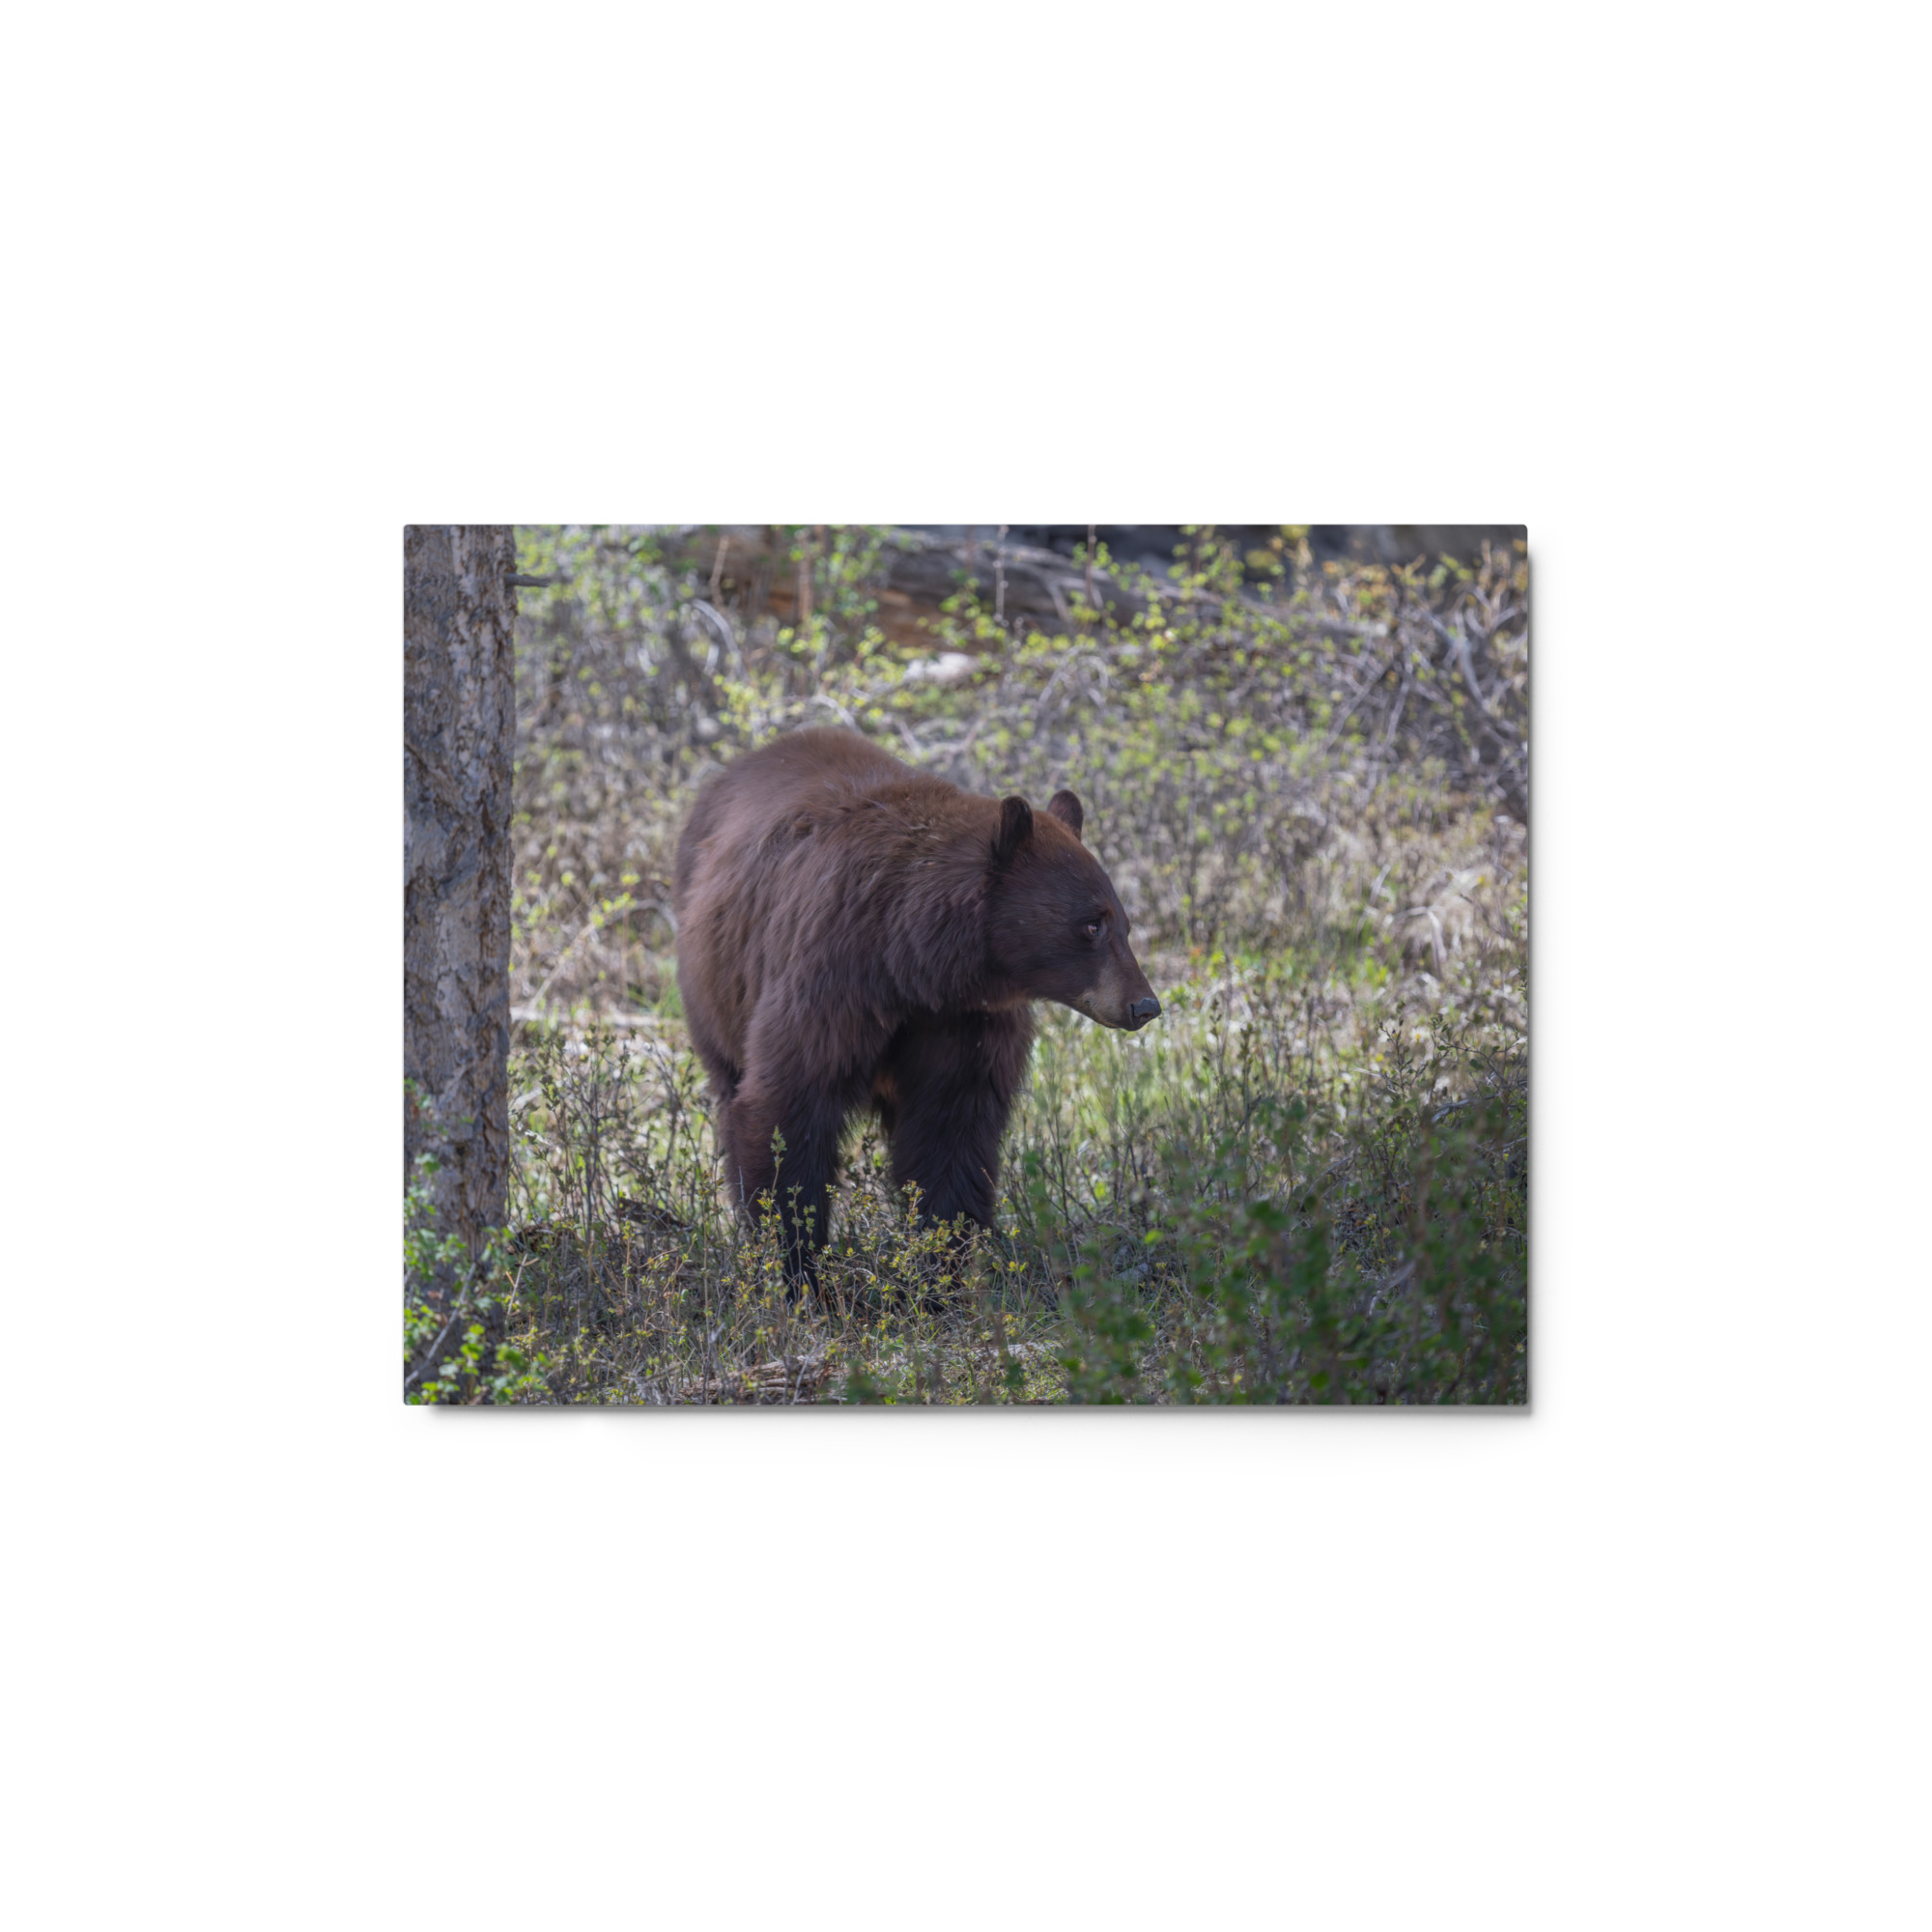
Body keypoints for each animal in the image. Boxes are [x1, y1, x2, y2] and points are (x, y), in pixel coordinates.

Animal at [671, 727, 1160, 1278]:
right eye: (1091, 925)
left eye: (1124, 925)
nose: (1145, 1005)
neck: (912, 963)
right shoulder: (831, 979)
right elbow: (788, 1108)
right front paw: (796, 1264)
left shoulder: (964, 1021)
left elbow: (950, 1131)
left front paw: (936, 1264)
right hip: (715, 989)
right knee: (729, 1083)